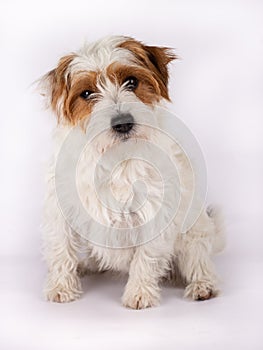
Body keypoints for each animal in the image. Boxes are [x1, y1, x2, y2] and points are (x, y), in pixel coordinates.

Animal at [40, 35, 226, 308]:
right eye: (87, 93)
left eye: (131, 82)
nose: (123, 124)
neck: (116, 156)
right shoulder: (61, 211)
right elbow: (61, 249)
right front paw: (61, 287)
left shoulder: (155, 214)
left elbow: (146, 257)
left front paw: (140, 292)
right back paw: (86, 266)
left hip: (195, 234)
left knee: (199, 262)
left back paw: (203, 286)